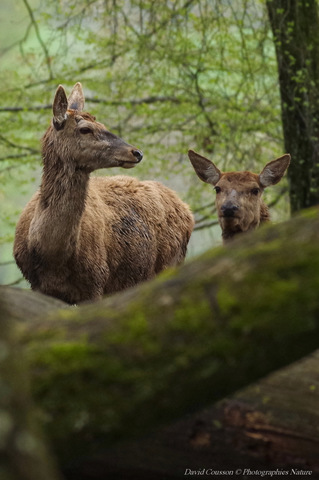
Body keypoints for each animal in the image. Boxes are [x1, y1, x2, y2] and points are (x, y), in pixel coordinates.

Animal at [13, 80, 195, 302]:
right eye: (85, 129)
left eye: (103, 125)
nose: (137, 152)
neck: (51, 255)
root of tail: (186, 208)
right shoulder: (37, 285)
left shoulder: (96, 279)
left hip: (170, 263)